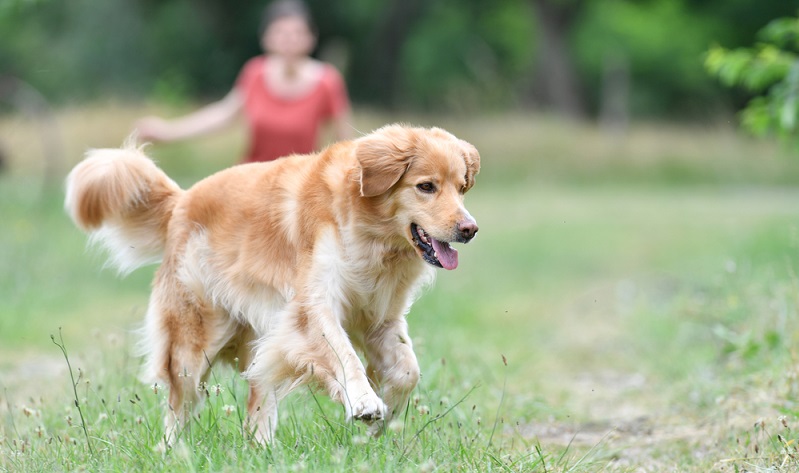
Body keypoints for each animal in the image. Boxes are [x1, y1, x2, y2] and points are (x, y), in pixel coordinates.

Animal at [65, 123, 478, 440]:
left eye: (461, 187)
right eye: (426, 187)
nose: (470, 229)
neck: (374, 238)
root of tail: (180, 202)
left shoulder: (380, 318)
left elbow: (408, 370)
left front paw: (385, 415)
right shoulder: (311, 307)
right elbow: (344, 355)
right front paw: (364, 402)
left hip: (260, 336)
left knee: (256, 397)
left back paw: (262, 448)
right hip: (192, 343)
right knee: (178, 405)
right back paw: (174, 450)